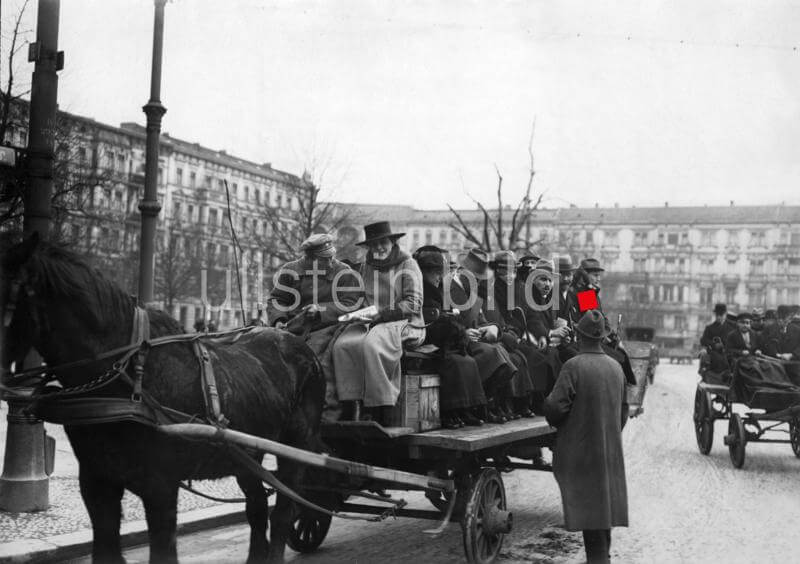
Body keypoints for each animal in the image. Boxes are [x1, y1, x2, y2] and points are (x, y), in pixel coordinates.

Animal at [1, 235, 324, 564]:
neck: (128, 378)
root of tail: (298, 341)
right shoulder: (96, 481)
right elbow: (105, 547)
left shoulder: (160, 487)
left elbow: (163, 550)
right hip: (247, 454)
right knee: (257, 507)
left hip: (296, 447)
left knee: (283, 512)